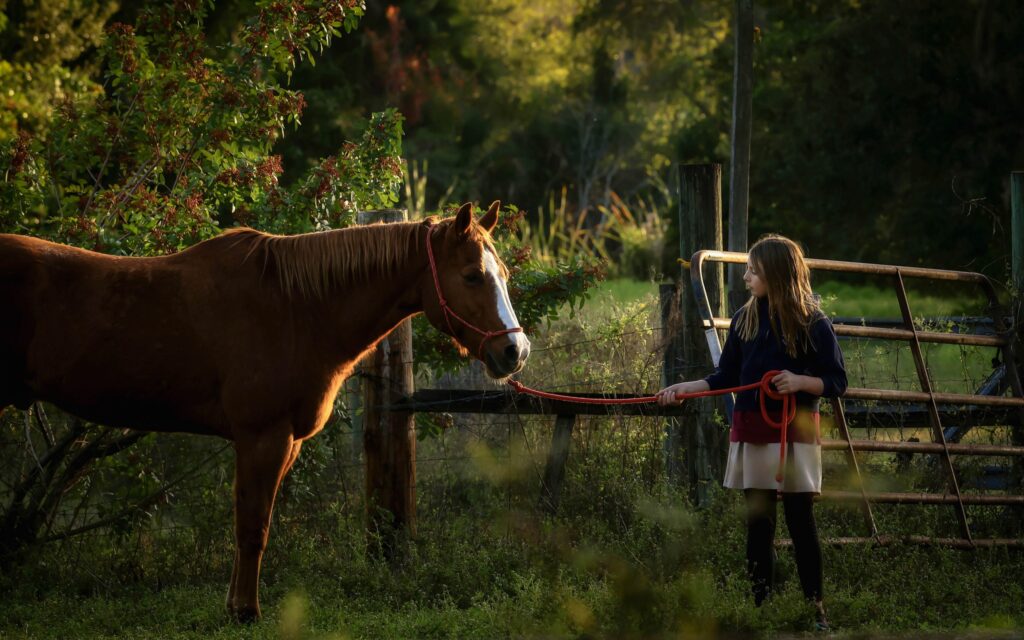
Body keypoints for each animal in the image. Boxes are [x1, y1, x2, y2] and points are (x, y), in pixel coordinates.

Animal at [0, 200, 530, 621]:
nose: (515, 352)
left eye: (503, 275)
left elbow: (250, 524)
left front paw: (236, 605)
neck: (296, 307)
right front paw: (246, 612)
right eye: (472, 276)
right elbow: (253, 527)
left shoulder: (283, 442)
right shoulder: (262, 438)